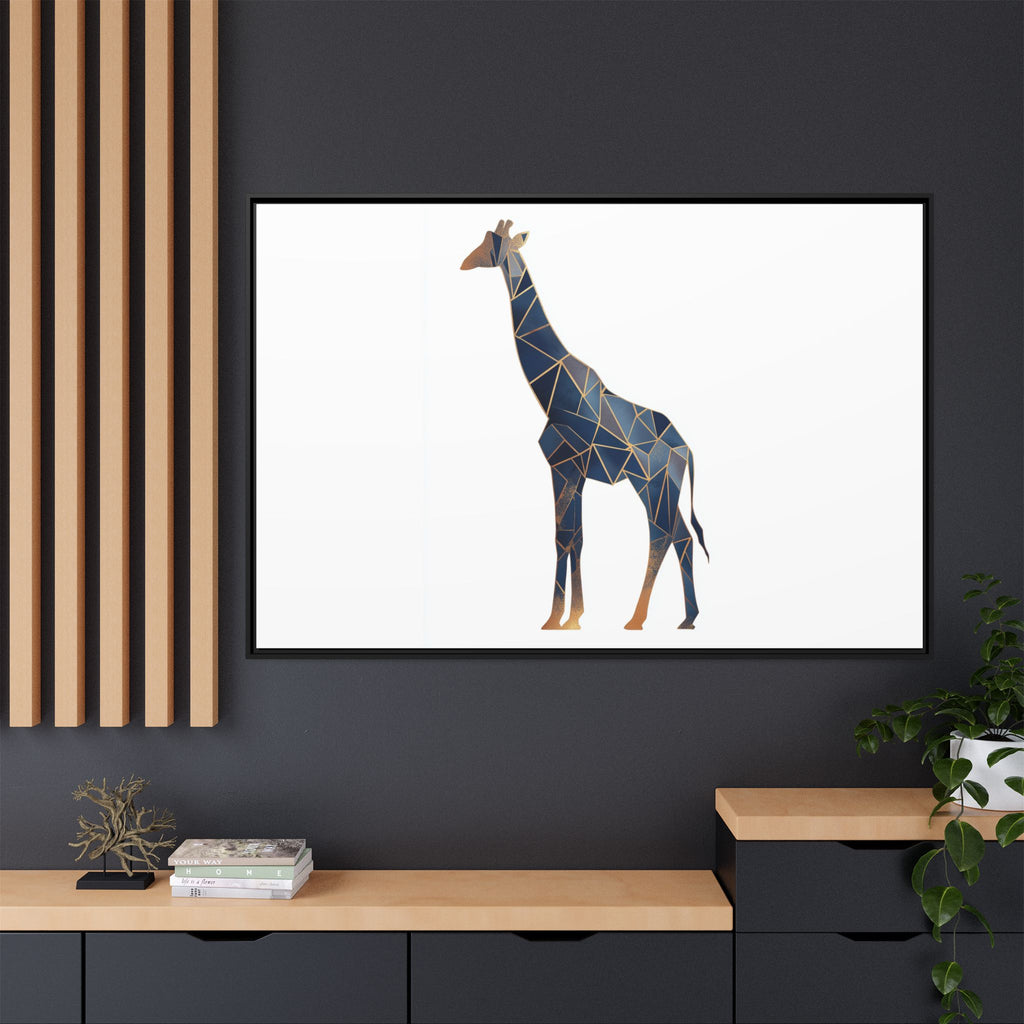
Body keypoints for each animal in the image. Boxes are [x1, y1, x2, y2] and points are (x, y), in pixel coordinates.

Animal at [461, 219, 709, 631]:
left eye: (492, 244)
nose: (465, 262)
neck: (552, 391)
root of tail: (686, 449)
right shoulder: (573, 472)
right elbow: (574, 537)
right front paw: (570, 617)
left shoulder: (563, 465)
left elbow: (563, 537)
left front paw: (558, 619)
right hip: (663, 487)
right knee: (681, 538)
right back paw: (687, 619)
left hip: (651, 483)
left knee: (662, 536)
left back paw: (637, 620)